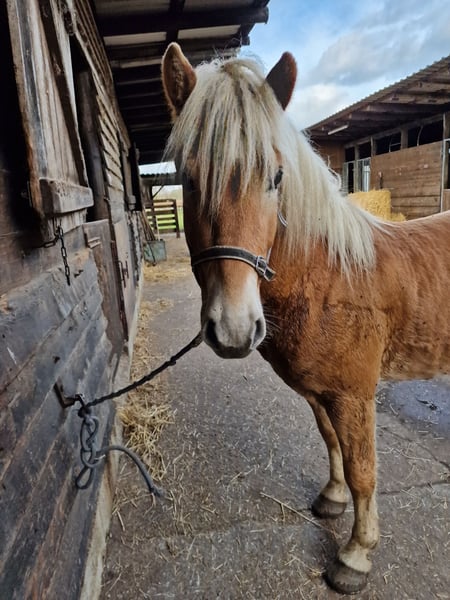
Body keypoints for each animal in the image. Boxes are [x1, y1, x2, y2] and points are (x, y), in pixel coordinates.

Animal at [161, 43, 450, 594]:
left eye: (275, 178)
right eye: (188, 178)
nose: (234, 329)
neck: (331, 277)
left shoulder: (355, 396)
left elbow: (363, 470)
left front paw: (356, 555)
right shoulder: (320, 393)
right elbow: (332, 444)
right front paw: (332, 500)